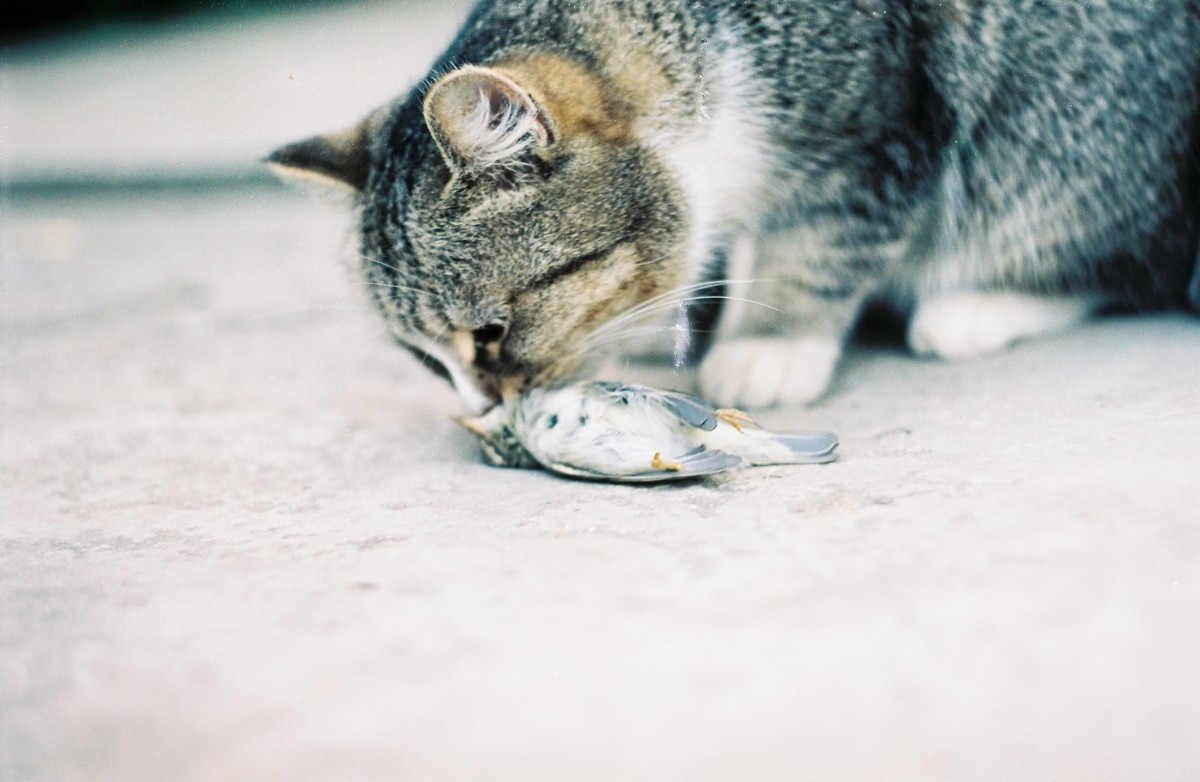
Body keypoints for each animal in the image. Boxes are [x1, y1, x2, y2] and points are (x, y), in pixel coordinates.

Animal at [267, 0, 1195, 412]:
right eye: (425, 359)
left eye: (491, 333)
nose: (485, 406)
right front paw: (677, 315)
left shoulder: (875, 132)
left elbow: (816, 243)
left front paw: (770, 346)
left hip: (1061, 138)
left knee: (1127, 258)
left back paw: (981, 304)